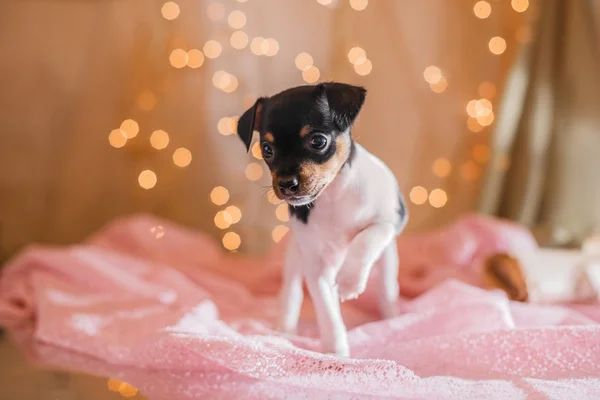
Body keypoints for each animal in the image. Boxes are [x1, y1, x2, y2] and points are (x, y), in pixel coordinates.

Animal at [238, 82, 408, 356]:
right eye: (267, 149)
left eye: (318, 141)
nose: (286, 184)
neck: (333, 195)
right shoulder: (317, 269)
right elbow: (327, 311)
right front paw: (335, 352)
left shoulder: (391, 220)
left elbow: (366, 238)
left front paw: (349, 280)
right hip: (295, 255)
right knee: (291, 290)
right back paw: (283, 327)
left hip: (388, 259)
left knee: (387, 289)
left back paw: (391, 318)